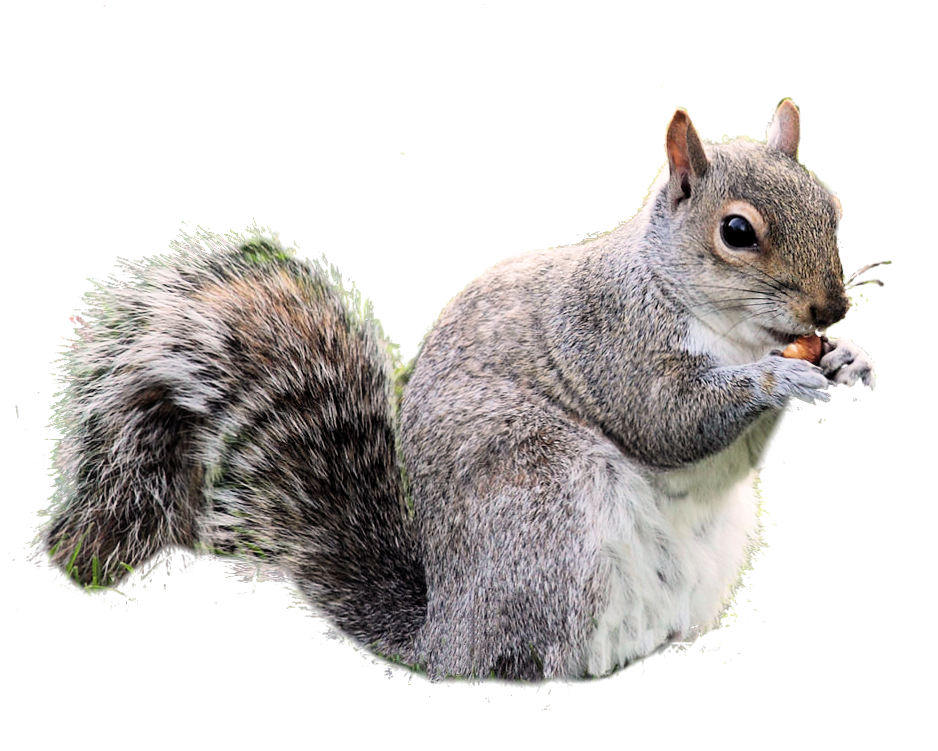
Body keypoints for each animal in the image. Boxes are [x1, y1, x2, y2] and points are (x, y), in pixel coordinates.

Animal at [31, 99, 887, 687]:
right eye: (737, 232)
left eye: (835, 208)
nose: (830, 308)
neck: (729, 326)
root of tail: (445, 636)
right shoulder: (610, 338)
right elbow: (667, 420)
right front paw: (778, 376)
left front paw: (850, 357)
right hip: (547, 508)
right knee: (526, 658)